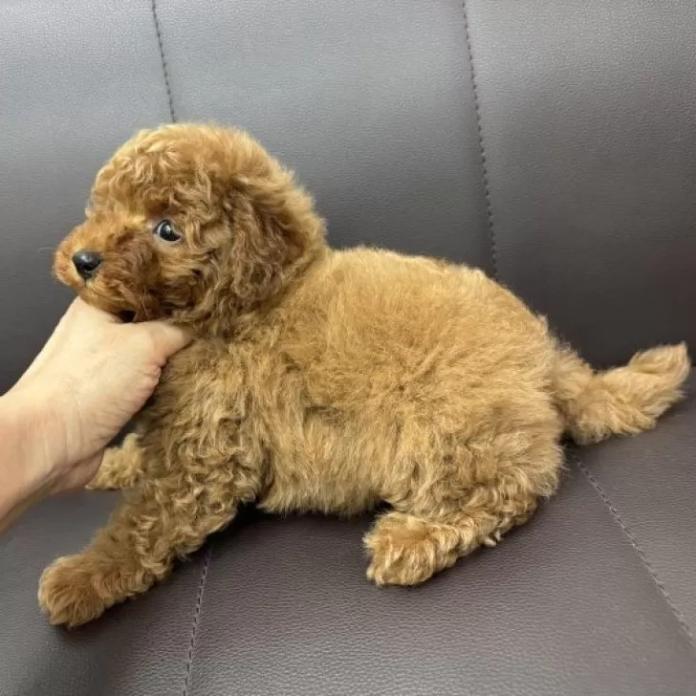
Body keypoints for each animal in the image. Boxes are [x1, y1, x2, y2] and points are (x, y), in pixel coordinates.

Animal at [42, 123, 690, 627]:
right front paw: (114, 463)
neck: (250, 302)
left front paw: (80, 578)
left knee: (506, 491)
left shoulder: (204, 458)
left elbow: (143, 524)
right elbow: (143, 466)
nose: (83, 260)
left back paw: (411, 541)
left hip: (443, 423)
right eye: (104, 207)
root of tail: (546, 357)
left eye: (167, 230)